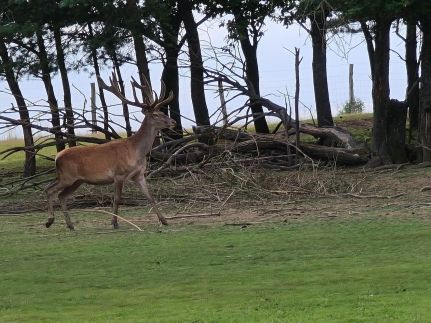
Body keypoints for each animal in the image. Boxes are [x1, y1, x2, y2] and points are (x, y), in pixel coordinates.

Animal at [44, 73, 176, 230]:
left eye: (162, 111)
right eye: (155, 114)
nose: (173, 122)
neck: (136, 152)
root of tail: (57, 156)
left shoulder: (139, 175)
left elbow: (150, 196)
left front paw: (164, 220)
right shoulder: (119, 174)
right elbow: (117, 198)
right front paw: (114, 222)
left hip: (77, 180)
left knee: (61, 195)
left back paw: (70, 225)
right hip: (67, 176)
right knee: (49, 190)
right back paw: (49, 220)